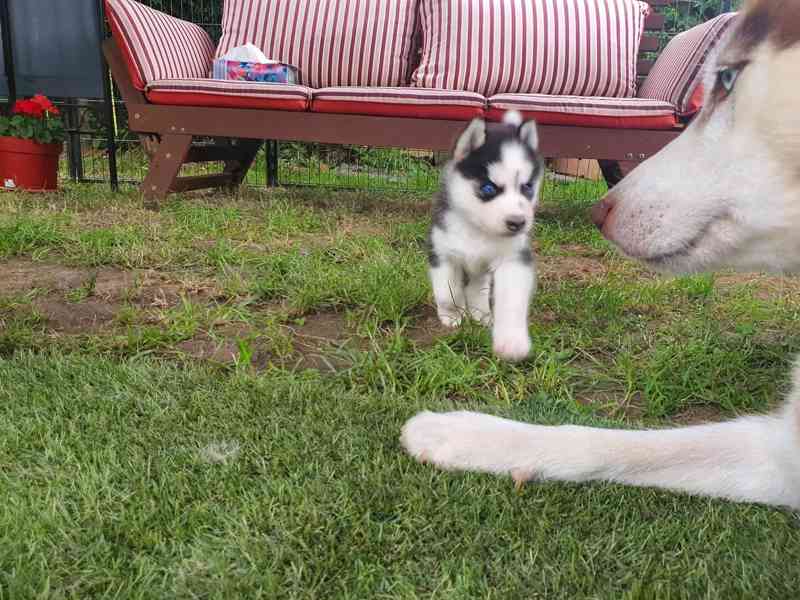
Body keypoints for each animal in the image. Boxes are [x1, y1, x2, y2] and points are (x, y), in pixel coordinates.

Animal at [424, 111, 544, 360]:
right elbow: (447, 291)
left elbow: (511, 300)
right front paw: (451, 315)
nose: (518, 223)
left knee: (478, 286)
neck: (478, 230)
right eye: (489, 189)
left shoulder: (514, 259)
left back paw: (480, 313)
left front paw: (512, 341)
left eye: (527, 187)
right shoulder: (443, 254)